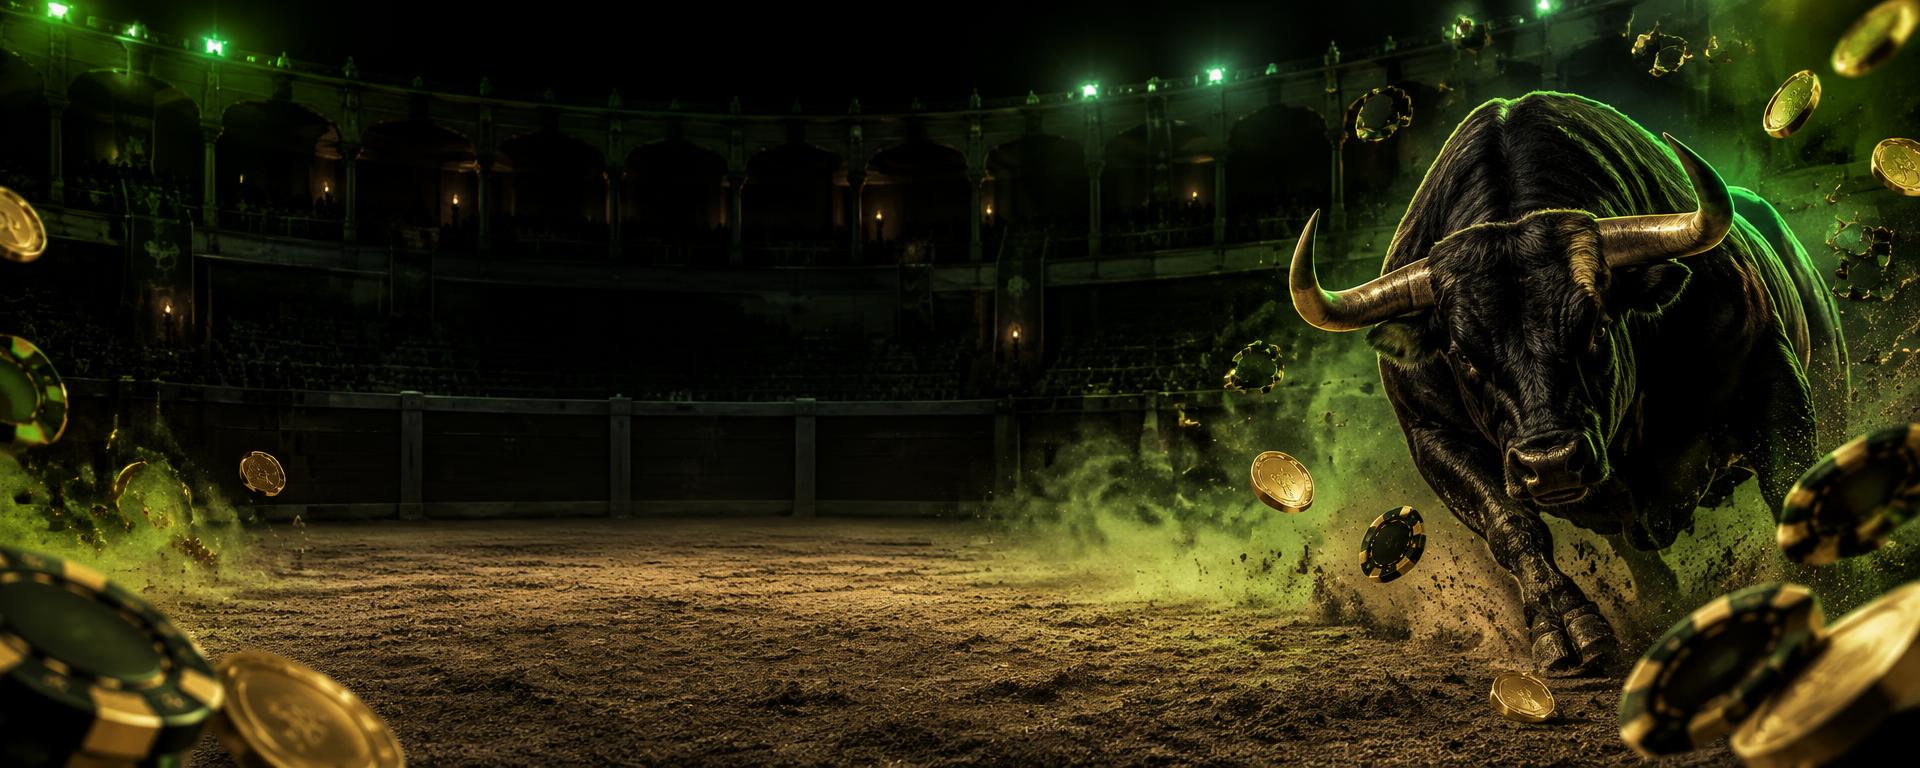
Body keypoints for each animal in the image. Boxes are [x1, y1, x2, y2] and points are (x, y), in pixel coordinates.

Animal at [1289, 92, 1848, 674]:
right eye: (1464, 355)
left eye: (1596, 326)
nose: (1551, 463)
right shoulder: (1433, 437)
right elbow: (1512, 526)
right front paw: (1568, 626)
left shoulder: (1769, 374)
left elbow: (1790, 483)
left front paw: (1827, 593)